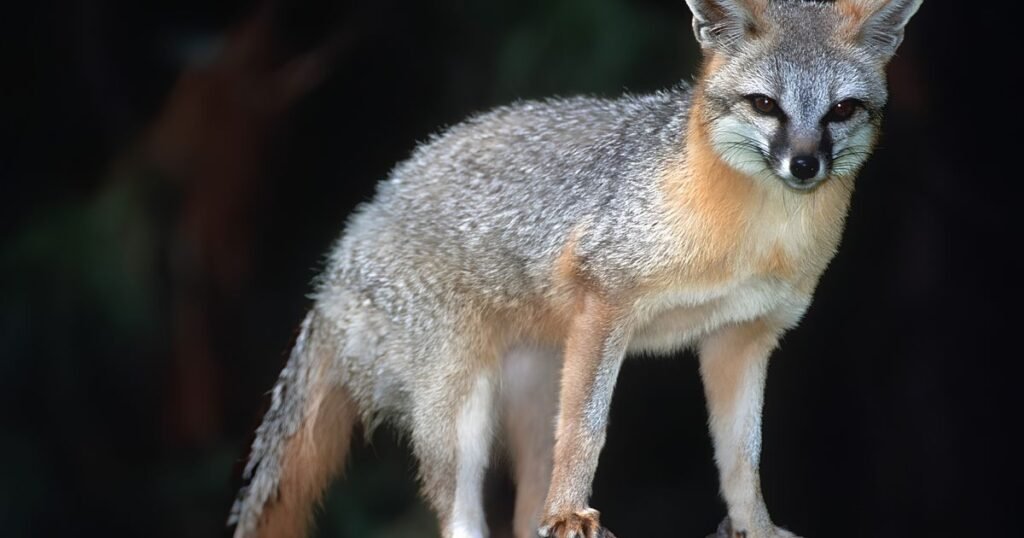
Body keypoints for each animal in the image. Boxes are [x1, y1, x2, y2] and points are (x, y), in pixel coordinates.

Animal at [228, 1, 922, 537]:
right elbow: (588, 431)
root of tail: (337, 262)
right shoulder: (604, 300)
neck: (754, 239)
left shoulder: (741, 338)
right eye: (765, 105)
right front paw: (570, 513)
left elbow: (742, 458)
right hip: (460, 408)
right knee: (460, 514)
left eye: (841, 111)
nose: (804, 165)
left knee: (521, 508)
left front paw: (755, 525)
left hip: (534, 396)